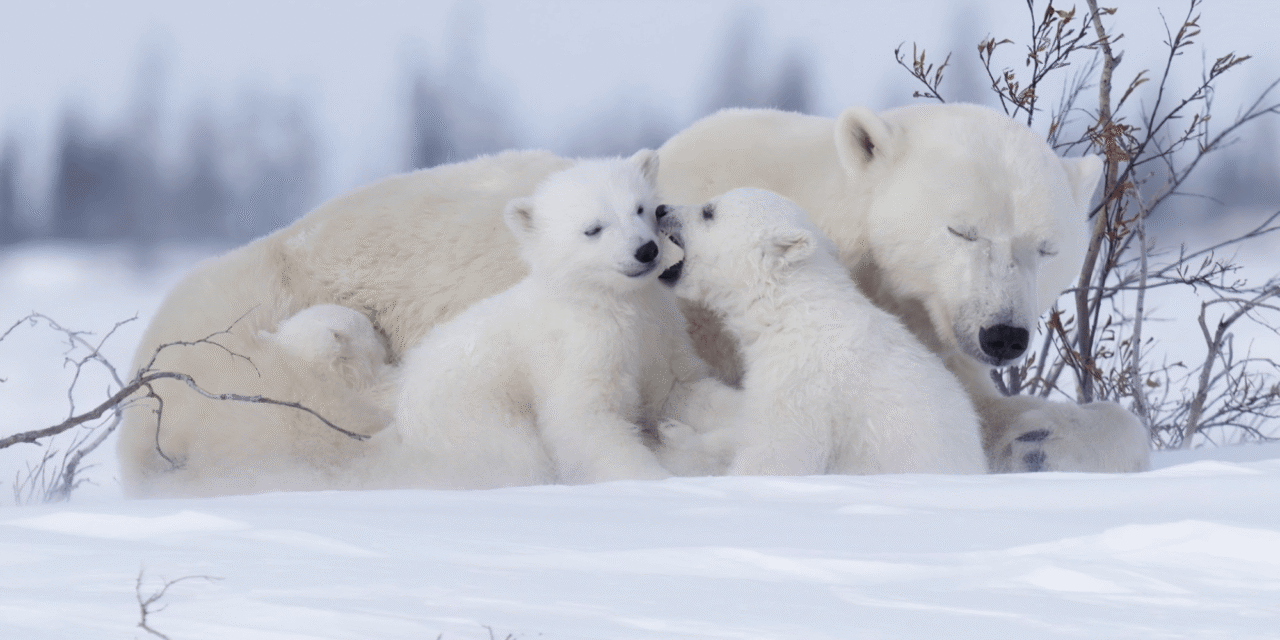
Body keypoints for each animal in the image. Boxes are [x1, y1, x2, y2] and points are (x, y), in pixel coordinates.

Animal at [378, 151, 733, 489]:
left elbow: (680, 388)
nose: (646, 250)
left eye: (640, 208)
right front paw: (652, 480)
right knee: (515, 457)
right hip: (473, 416)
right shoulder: (579, 350)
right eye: (593, 228)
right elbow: (584, 422)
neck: (608, 301)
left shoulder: (660, 335)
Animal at [653, 188, 986, 476]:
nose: (661, 209)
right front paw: (674, 429)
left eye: (708, 211)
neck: (791, 308)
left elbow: (779, 454)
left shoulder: (803, 382)